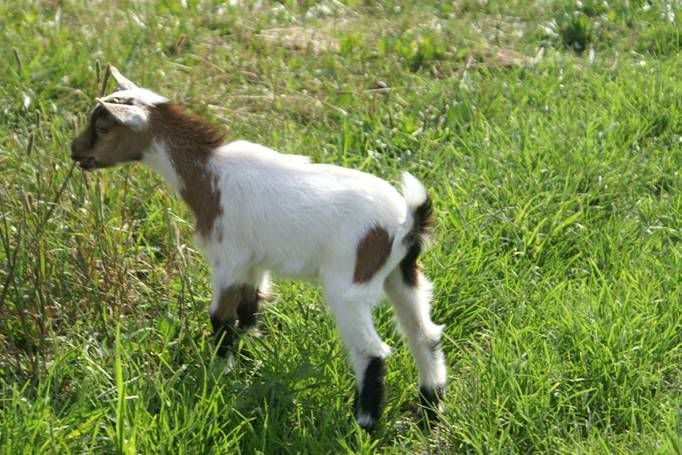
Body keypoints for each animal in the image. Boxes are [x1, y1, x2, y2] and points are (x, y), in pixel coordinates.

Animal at [70, 66, 447, 430]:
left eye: (102, 128)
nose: (75, 151)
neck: (207, 171)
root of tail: (405, 222)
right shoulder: (254, 262)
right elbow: (249, 310)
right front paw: (249, 359)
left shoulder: (227, 258)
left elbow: (221, 317)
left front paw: (218, 376)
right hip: (402, 274)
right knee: (423, 333)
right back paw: (430, 408)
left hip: (349, 284)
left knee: (371, 351)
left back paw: (364, 423)